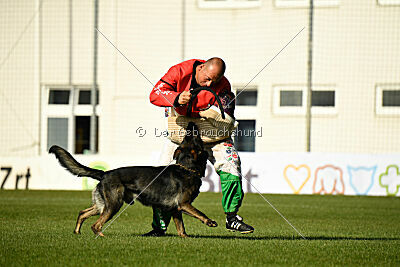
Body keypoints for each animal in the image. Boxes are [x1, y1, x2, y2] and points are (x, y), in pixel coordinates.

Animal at [50, 122, 219, 238]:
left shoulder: (175, 209)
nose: (191, 123)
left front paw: (185, 238)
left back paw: (77, 232)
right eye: (193, 135)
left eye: (187, 136)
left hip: (102, 205)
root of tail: (105, 173)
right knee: (96, 225)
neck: (186, 167)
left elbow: (181, 228)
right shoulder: (184, 204)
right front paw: (210, 222)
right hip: (114, 205)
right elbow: (199, 213)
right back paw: (102, 236)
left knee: (82, 213)